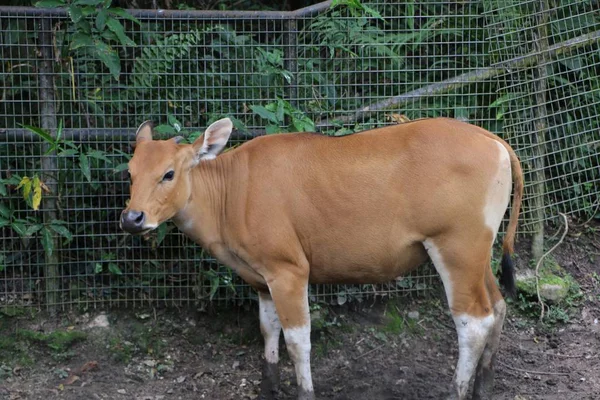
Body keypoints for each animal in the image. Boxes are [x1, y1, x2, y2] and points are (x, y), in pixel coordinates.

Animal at [120, 117, 520, 398]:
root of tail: (492, 140)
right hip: (478, 251)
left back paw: (458, 391)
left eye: (168, 173)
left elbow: (298, 341)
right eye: (130, 173)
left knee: (474, 322)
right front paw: (269, 389)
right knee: (499, 306)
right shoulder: (262, 279)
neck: (233, 190)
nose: (132, 218)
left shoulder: (289, 271)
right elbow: (268, 330)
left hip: (456, 248)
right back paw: (483, 387)